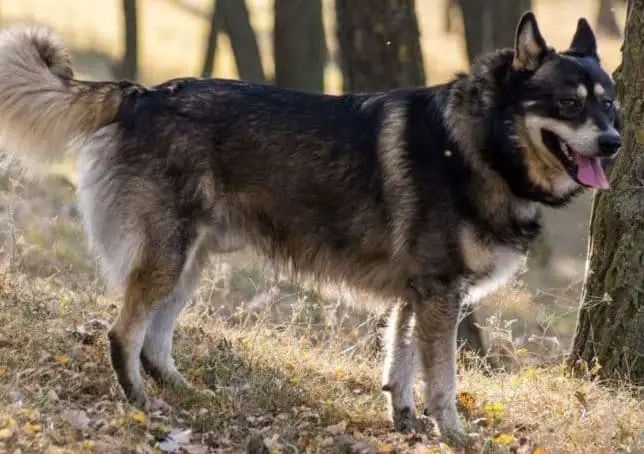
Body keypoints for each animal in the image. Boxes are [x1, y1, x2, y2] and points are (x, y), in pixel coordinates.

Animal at [0, 13, 620, 440]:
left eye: (610, 106)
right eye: (568, 104)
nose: (614, 143)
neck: (477, 142)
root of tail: (142, 93)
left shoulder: (415, 296)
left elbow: (399, 364)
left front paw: (405, 423)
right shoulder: (440, 296)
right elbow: (442, 381)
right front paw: (455, 436)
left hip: (188, 263)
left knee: (155, 341)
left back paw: (187, 393)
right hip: (167, 259)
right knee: (123, 334)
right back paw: (143, 405)